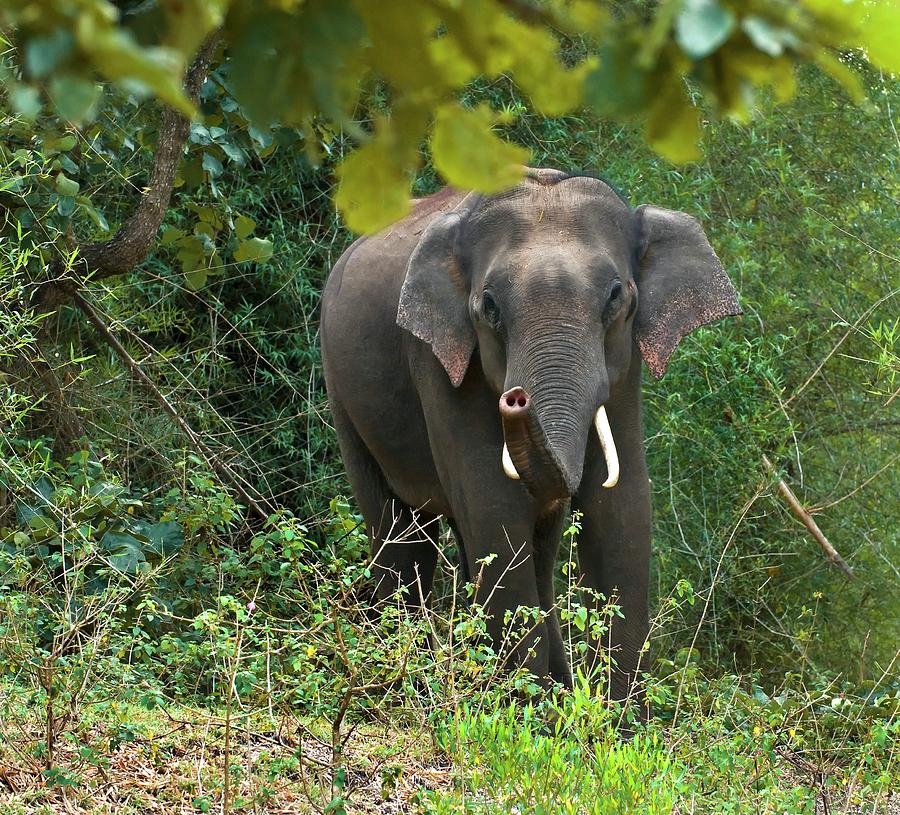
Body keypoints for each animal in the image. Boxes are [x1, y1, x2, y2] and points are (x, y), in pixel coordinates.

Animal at [320, 169, 740, 712]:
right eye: (489, 306)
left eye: (616, 297)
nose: (516, 400)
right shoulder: (437, 360)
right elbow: (494, 509)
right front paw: (528, 714)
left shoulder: (626, 371)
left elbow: (621, 509)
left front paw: (616, 722)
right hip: (341, 390)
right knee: (397, 531)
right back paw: (402, 685)